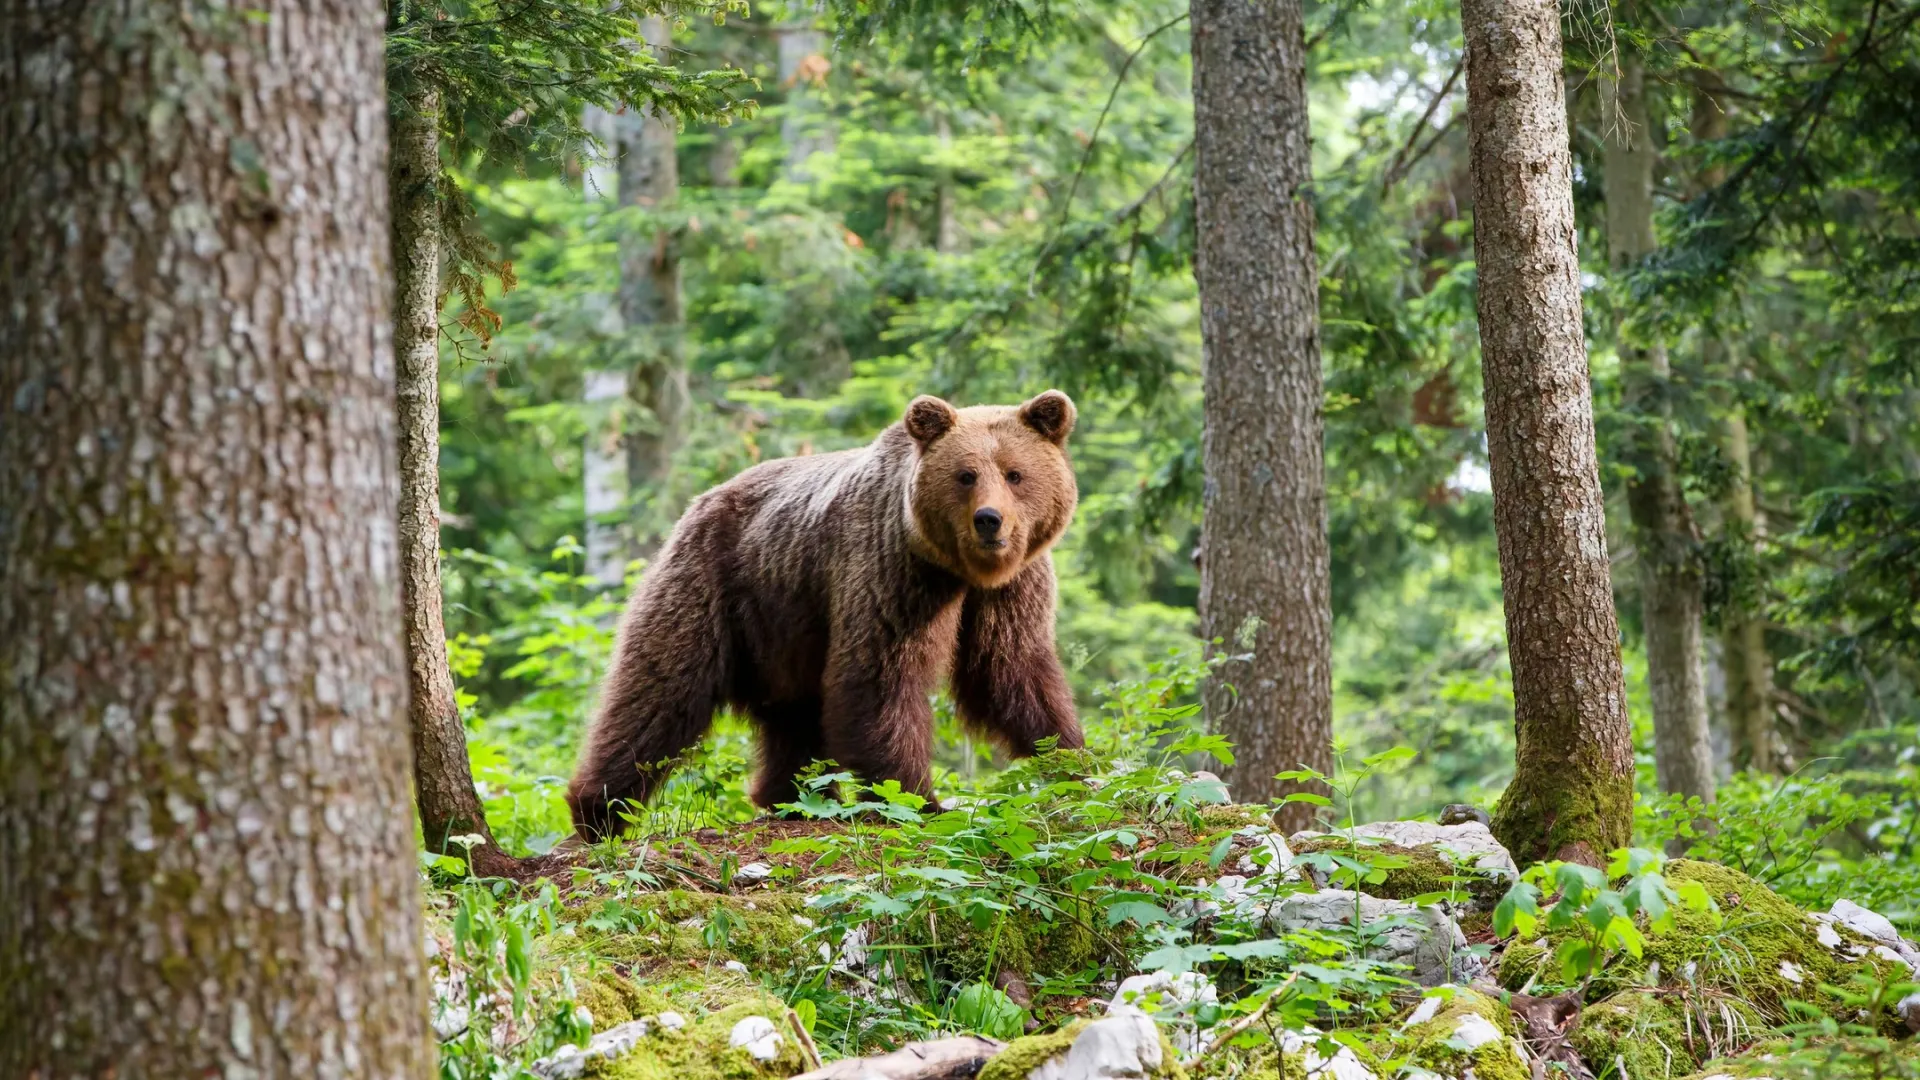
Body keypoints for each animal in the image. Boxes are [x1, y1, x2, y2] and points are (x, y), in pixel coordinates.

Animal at [560, 390, 1090, 837]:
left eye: (1015, 473)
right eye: (966, 475)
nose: (989, 521)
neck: (958, 570)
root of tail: (701, 501)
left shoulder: (1011, 587)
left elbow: (1011, 669)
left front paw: (1073, 762)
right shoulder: (890, 569)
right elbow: (880, 674)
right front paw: (919, 799)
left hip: (782, 626)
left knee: (794, 718)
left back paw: (793, 798)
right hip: (713, 585)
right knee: (660, 690)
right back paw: (599, 812)